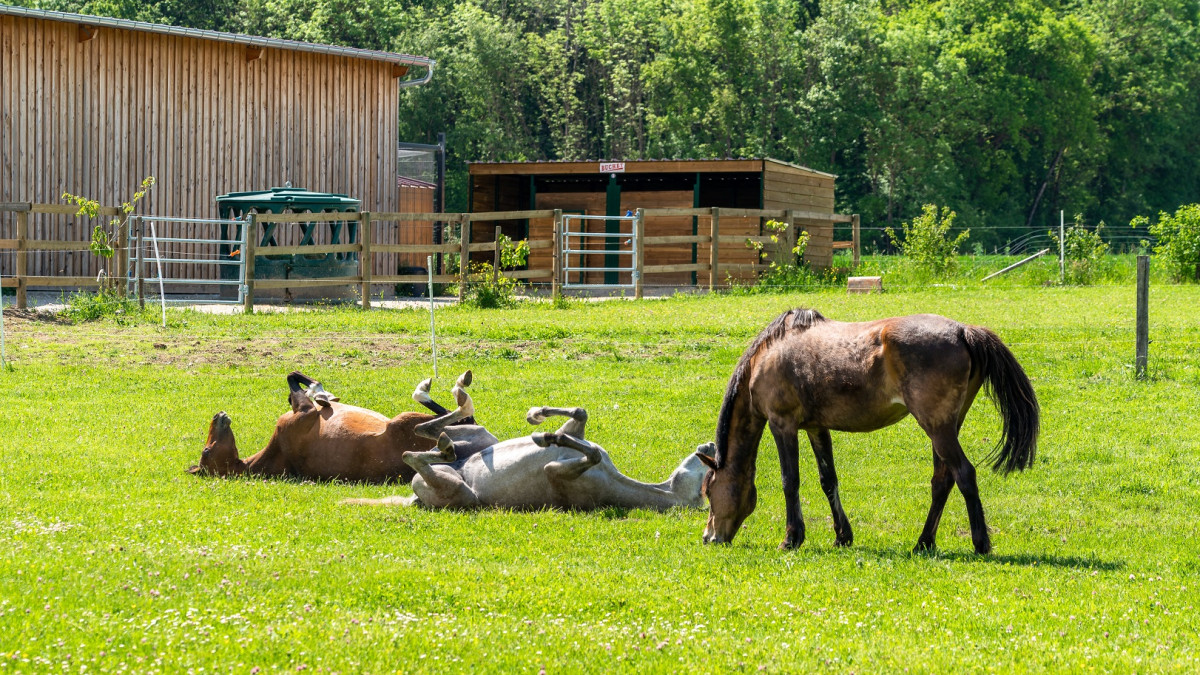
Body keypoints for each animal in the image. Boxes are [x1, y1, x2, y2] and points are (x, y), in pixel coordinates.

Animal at [190, 367, 496, 482]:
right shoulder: (303, 414)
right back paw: (455, 393)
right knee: (457, 416)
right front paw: (319, 391)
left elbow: (295, 381)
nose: (218, 416)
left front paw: (324, 394)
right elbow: (295, 381)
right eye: (206, 452)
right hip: (406, 422)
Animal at [343, 379, 710, 509]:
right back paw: (452, 398)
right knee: (430, 426)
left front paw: (546, 436)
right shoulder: (577, 432)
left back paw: (444, 446)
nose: (709, 446)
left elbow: (585, 451)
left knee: (416, 453)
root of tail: (414, 498)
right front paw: (538, 419)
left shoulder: (555, 470)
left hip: (458, 490)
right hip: (481, 438)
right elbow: (580, 414)